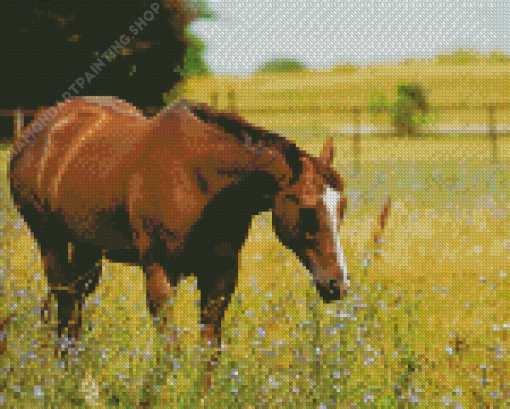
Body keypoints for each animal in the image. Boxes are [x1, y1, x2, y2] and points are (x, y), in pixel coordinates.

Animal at [8, 95, 350, 382]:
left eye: (342, 207)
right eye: (308, 210)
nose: (338, 284)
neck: (200, 177)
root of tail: (36, 131)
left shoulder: (221, 274)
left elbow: (209, 351)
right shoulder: (160, 272)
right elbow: (170, 350)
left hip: (86, 249)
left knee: (73, 307)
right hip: (50, 243)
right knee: (64, 302)